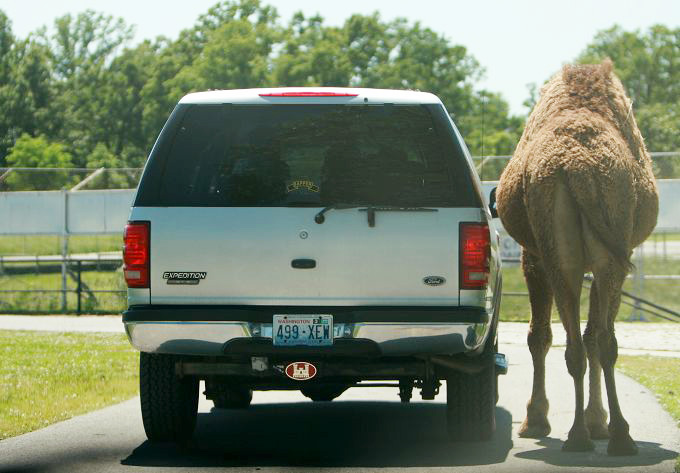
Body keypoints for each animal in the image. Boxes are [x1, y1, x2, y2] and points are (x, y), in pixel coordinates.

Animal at [494, 60, 660, 454]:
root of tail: (578, 166)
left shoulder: (533, 255)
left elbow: (544, 335)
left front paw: (537, 420)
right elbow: (587, 335)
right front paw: (595, 421)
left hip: (563, 255)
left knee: (574, 341)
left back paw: (583, 434)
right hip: (605, 254)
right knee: (601, 340)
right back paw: (615, 435)